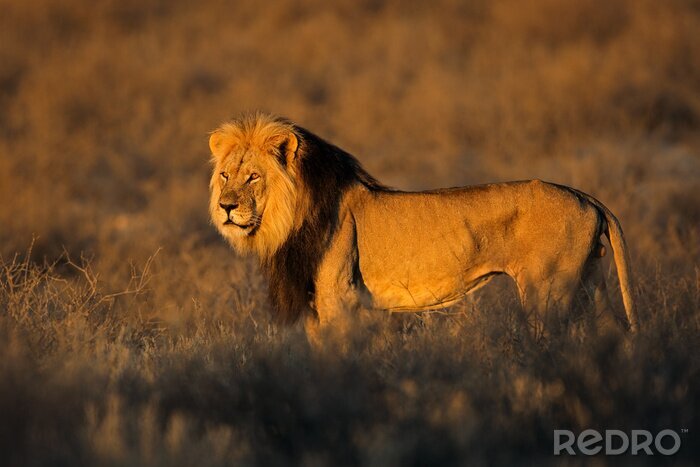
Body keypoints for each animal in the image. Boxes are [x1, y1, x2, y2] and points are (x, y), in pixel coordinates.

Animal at [208, 112, 638, 341]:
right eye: (226, 175)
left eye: (253, 177)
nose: (226, 207)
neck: (287, 222)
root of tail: (585, 196)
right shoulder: (315, 306)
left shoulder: (338, 298)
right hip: (590, 281)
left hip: (546, 292)